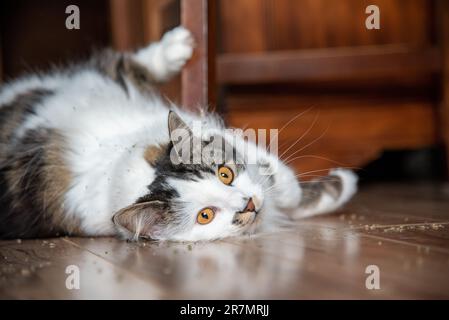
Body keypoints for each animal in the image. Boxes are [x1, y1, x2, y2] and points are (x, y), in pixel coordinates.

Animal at [0, 27, 356, 241]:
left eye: (225, 174)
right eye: (205, 215)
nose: (249, 204)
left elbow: (276, 175)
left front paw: (334, 186)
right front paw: (339, 187)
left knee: (127, 63)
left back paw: (178, 44)